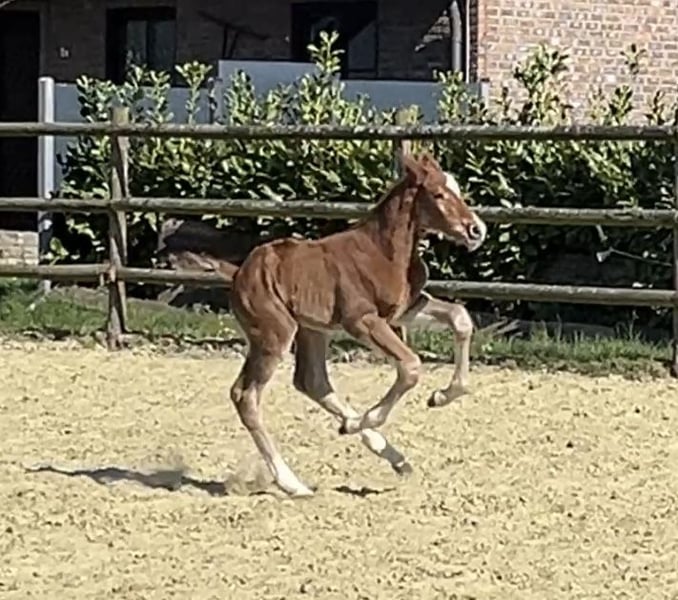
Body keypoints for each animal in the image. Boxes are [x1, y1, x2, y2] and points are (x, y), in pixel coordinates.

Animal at [205, 151, 487, 497]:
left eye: (458, 189)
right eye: (438, 194)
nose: (476, 230)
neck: (384, 250)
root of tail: (238, 274)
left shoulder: (404, 310)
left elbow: (461, 318)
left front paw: (440, 396)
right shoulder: (362, 321)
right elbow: (410, 366)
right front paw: (378, 415)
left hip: (312, 330)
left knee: (312, 382)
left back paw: (381, 448)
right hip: (273, 335)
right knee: (246, 396)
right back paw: (292, 483)